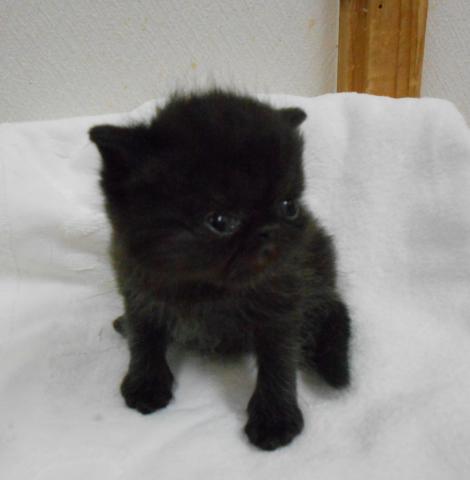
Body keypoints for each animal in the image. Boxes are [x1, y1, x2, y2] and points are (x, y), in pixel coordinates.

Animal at [89, 89, 351, 451]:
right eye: (220, 221)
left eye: (289, 207)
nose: (269, 230)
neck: (206, 289)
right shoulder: (136, 288)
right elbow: (144, 337)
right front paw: (145, 382)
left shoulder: (283, 301)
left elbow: (279, 360)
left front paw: (275, 417)